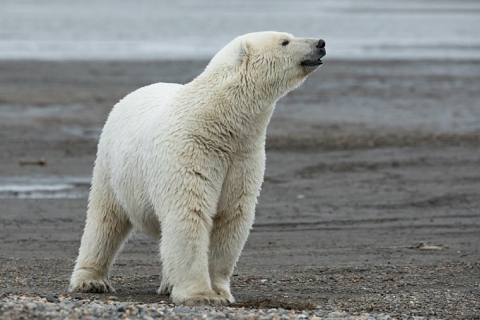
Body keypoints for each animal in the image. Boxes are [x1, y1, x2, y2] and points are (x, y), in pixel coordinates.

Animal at [69, 31, 326, 306]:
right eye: (285, 41)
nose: (320, 43)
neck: (218, 122)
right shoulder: (192, 151)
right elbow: (190, 213)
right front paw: (201, 295)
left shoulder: (242, 158)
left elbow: (231, 216)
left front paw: (221, 292)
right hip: (112, 166)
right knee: (105, 219)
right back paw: (90, 281)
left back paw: (167, 283)